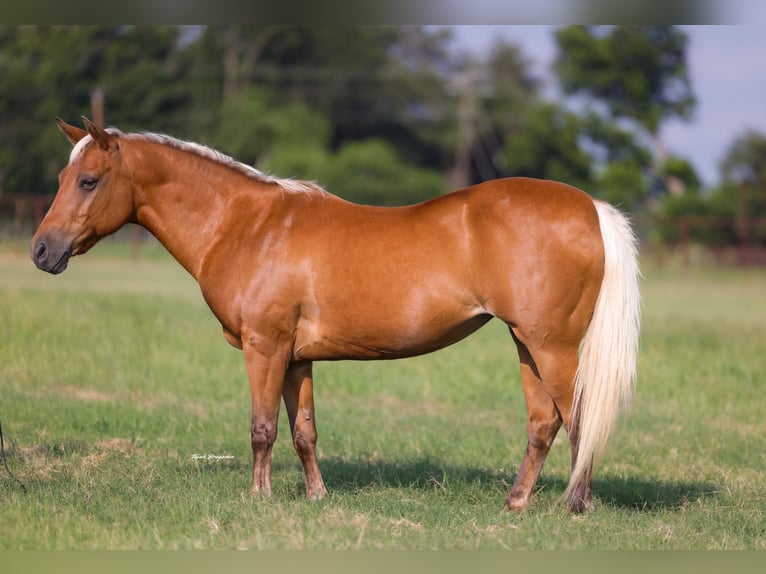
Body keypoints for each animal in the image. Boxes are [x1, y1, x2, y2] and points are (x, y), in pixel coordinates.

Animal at [31, 117, 640, 512]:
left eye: (88, 180)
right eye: (60, 179)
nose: (41, 251)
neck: (249, 225)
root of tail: (590, 207)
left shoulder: (265, 346)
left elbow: (262, 428)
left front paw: (260, 500)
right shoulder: (296, 357)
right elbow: (304, 431)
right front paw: (316, 497)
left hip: (551, 345)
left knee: (579, 418)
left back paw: (574, 506)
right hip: (525, 343)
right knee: (544, 423)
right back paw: (515, 505)